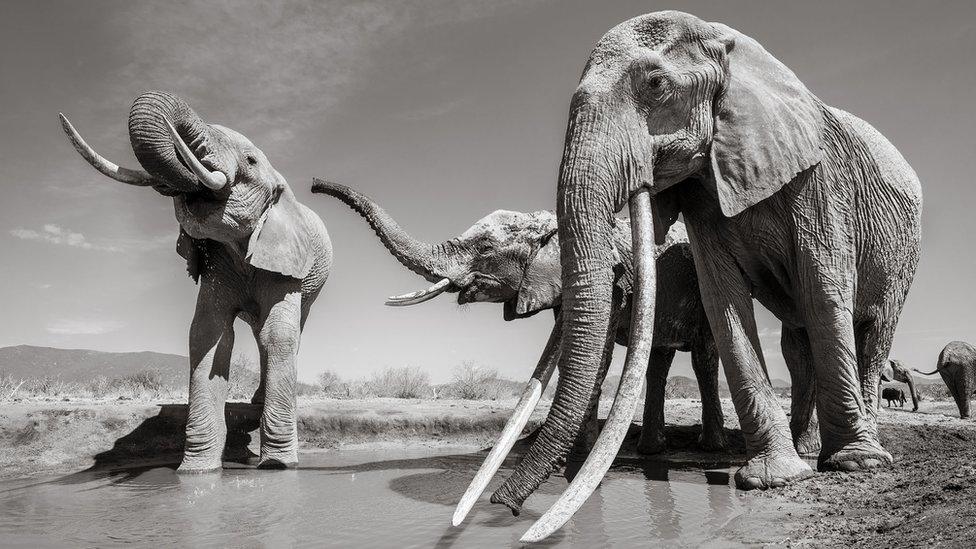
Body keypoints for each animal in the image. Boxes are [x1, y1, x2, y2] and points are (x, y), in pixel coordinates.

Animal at [63, 92, 336, 468]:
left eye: (250, 161)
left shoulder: (284, 260)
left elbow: (278, 334)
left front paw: (279, 466)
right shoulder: (217, 263)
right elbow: (209, 333)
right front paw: (196, 469)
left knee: (285, 331)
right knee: (257, 332)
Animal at [310, 180, 724, 458]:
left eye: (485, 248)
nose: (313, 184)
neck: (556, 224)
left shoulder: (612, 281)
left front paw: (573, 457)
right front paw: (573, 454)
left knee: (703, 358)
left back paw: (711, 447)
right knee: (658, 361)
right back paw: (651, 451)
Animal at [454, 10, 920, 540]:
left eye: (656, 85)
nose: (505, 509)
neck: (732, 46)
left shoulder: (820, 182)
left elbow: (824, 291)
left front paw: (851, 466)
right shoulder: (704, 194)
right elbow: (724, 301)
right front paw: (774, 478)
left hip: (903, 254)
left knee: (873, 330)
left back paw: (858, 453)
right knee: (795, 344)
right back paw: (803, 450)